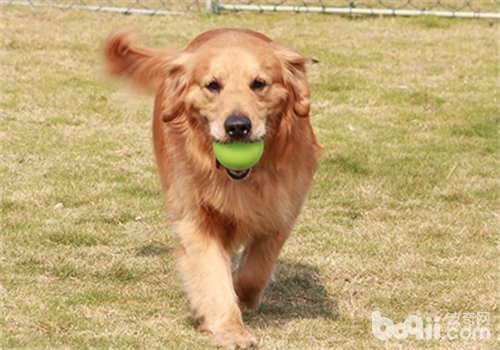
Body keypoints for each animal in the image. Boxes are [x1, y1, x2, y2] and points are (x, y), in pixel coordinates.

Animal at [103, 28, 320, 348]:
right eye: (212, 86)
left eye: (259, 84)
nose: (238, 126)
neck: (240, 179)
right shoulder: (196, 219)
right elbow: (212, 276)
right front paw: (230, 329)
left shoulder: (281, 211)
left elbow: (257, 268)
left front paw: (243, 297)